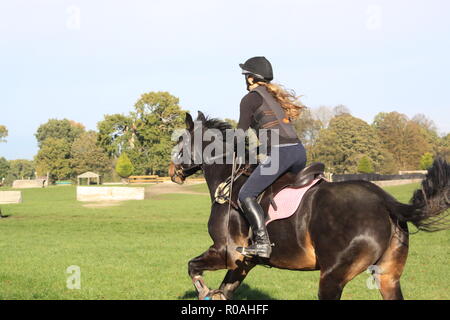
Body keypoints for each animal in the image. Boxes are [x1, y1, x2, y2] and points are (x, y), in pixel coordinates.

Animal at [170, 110, 450, 300]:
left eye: (180, 141)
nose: (173, 172)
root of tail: (384, 200)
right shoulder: (243, 262)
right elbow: (225, 290)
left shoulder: (226, 253)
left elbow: (192, 267)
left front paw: (204, 291)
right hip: (388, 277)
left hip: (331, 277)